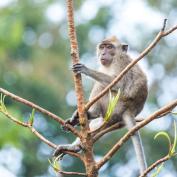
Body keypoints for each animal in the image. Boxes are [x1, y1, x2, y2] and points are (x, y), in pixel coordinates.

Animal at [54, 36, 148, 174]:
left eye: (109, 47)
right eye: (102, 47)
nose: (103, 53)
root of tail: (130, 110)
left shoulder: (120, 63)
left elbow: (118, 84)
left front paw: (86, 70)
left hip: (116, 104)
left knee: (102, 86)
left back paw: (91, 112)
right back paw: (76, 140)